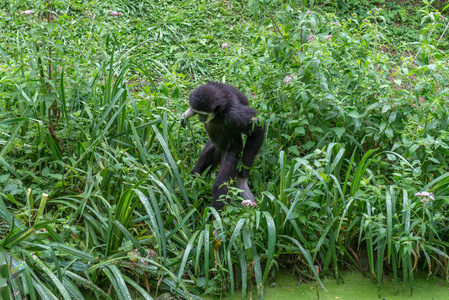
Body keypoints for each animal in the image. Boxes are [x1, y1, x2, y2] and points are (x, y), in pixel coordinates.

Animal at [180, 81, 264, 209]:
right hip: (214, 146)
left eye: (203, 114)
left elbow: (257, 128)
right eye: (198, 112)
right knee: (198, 170)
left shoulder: (234, 114)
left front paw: (242, 181)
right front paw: (188, 112)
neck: (218, 114)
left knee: (221, 187)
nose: (200, 117)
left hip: (233, 152)